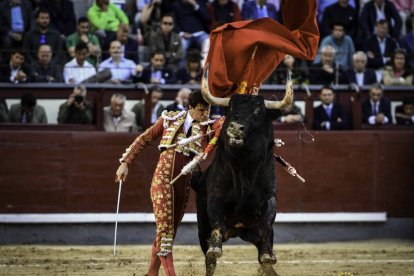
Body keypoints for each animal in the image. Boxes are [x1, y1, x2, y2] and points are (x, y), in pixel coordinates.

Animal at [192, 70, 292, 274]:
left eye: (258, 112)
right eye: (230, 109)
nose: (235, 127)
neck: (244, 166)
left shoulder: (269, 197)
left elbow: (266, 224)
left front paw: (268, 255)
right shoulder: (215, 196)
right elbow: (217, 222)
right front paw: (215, 248)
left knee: (264, 253)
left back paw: (267, 257)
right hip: (202, 228)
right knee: (209, 260)